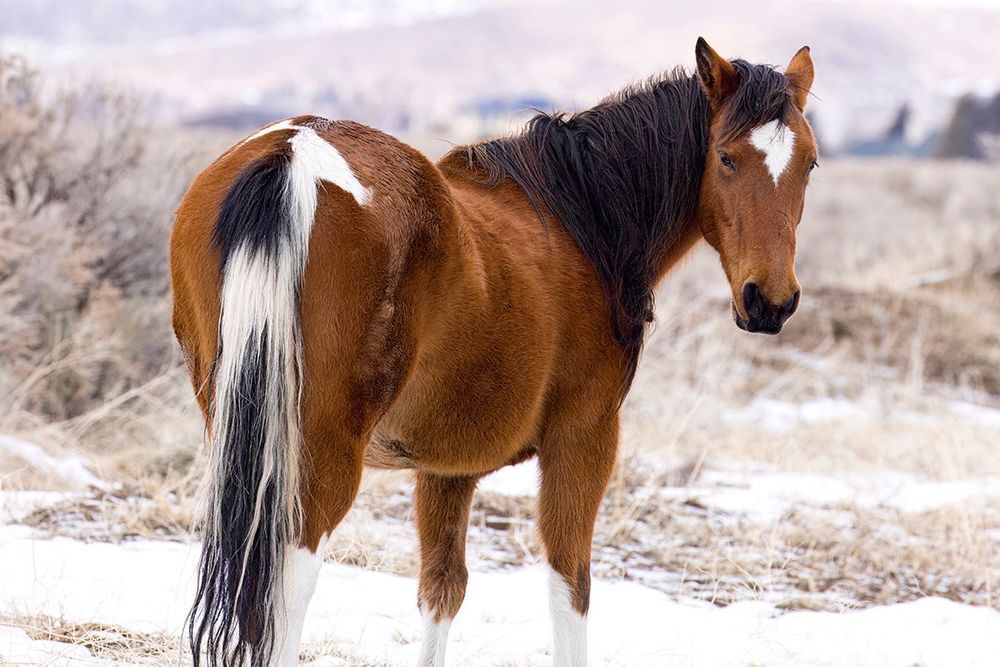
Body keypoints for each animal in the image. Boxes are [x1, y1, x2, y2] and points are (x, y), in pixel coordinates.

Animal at [170, 37, 816, 666]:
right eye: (726, 157)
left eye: (809, 163)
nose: (769, 301)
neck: (583, 219)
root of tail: (296, 152)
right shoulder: (583, 439)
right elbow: (569, 590)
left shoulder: (446, 469)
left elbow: (441, 591)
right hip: (319, 456)